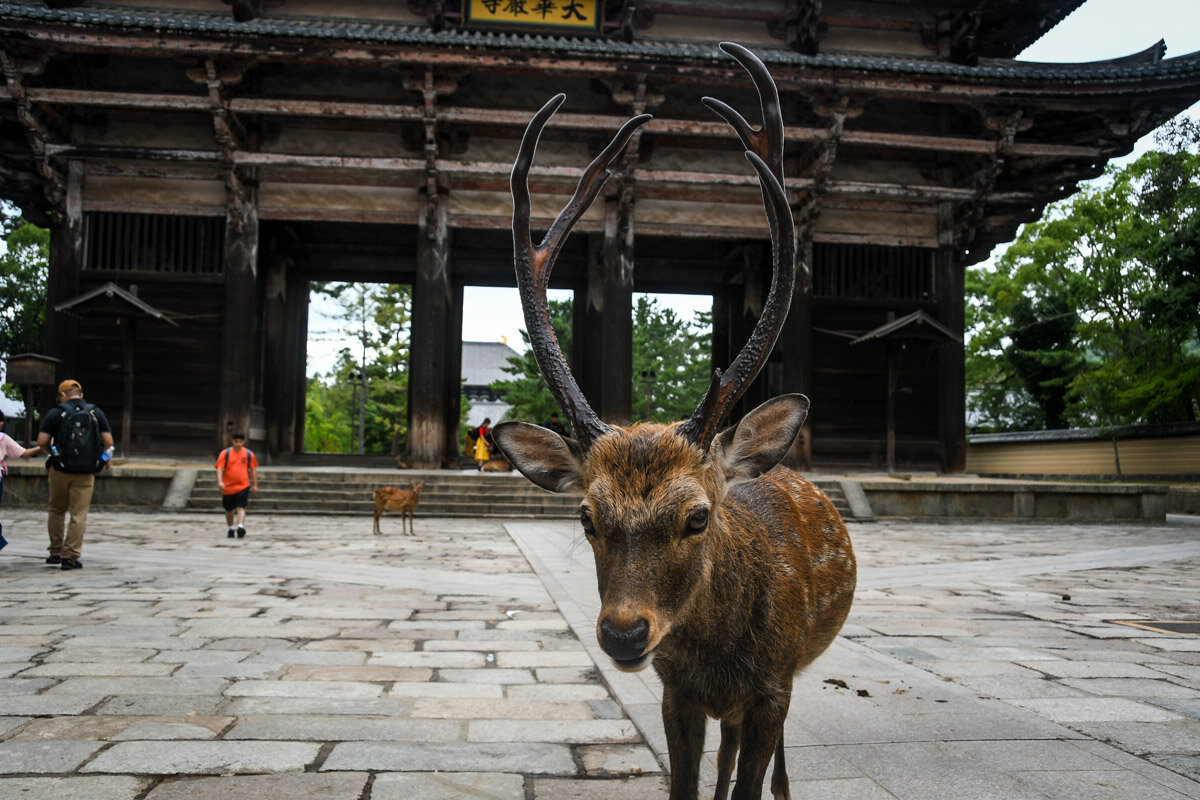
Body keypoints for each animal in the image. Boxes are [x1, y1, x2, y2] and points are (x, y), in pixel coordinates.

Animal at [492, 43, 859, 800]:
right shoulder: (675, 693)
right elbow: (689, 783)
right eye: (586, 516)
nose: (624, 636)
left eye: (697, 516)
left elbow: (750, 778)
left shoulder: (772, 688)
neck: (717, 658)